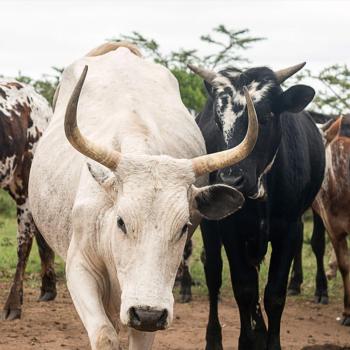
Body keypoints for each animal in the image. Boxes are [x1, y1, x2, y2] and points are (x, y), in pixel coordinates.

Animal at [189, 63, 326, 350]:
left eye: (265, 117)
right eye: (218, 122)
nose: (230, 180)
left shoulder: (291, 228)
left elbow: (274, 294)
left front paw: (269, 341)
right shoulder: (230, 228)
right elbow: (244, 288)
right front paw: (246, 341)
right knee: (214, 274)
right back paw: (215, 339)